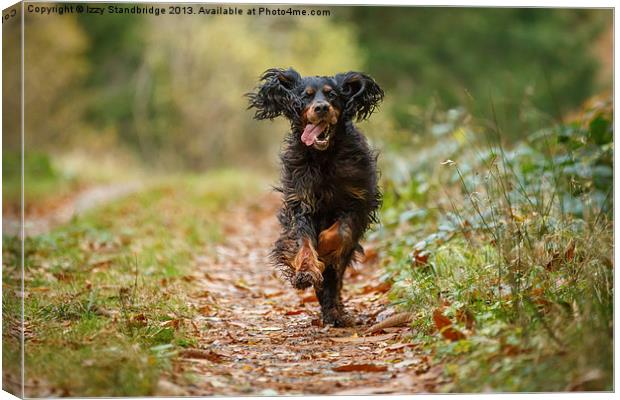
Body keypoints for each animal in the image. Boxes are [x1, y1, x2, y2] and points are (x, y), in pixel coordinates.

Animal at [247, 68, 382, 324]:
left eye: (332, 95)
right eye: (306, 96)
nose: (321, 108)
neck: (323, 157)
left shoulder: (358, 202)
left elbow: (339, 232)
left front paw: (325, 249)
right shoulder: (301, 202)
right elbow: (304, 241)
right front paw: (307, 270)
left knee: (336, 276)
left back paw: (335, 311)